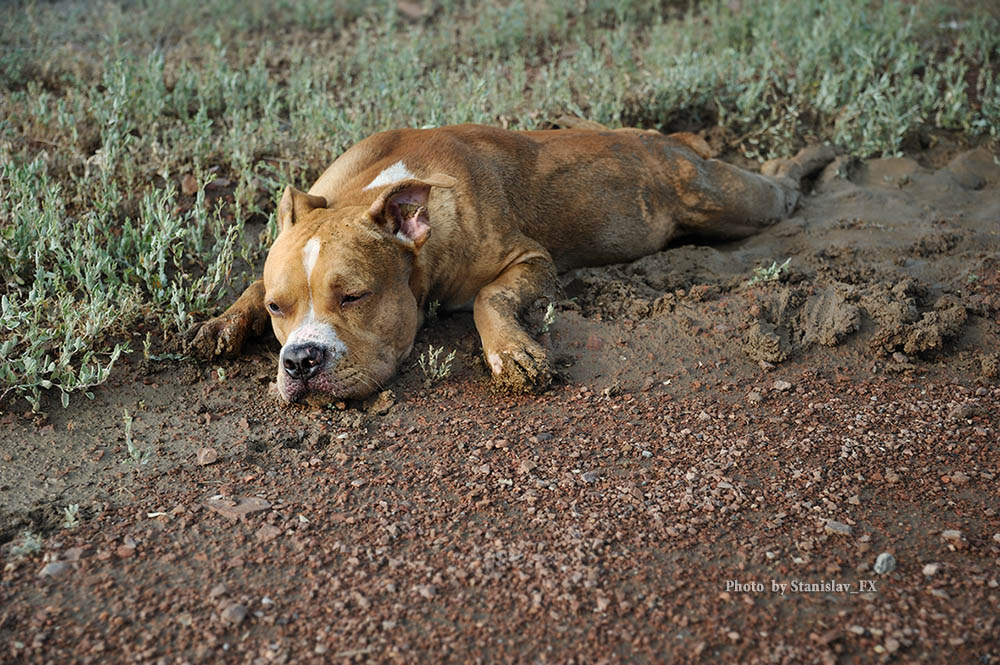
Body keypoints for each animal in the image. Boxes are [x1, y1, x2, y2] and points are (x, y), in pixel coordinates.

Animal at [186, 121, 828, 402]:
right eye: (278, 308)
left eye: (354, 296)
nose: (298, 362)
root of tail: (667, 139)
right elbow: (247, 284)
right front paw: (223, 321)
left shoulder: (531, 259)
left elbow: (490, 297)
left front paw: (512, 353)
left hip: (723, 200)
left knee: (779, 189)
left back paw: (816, 158)